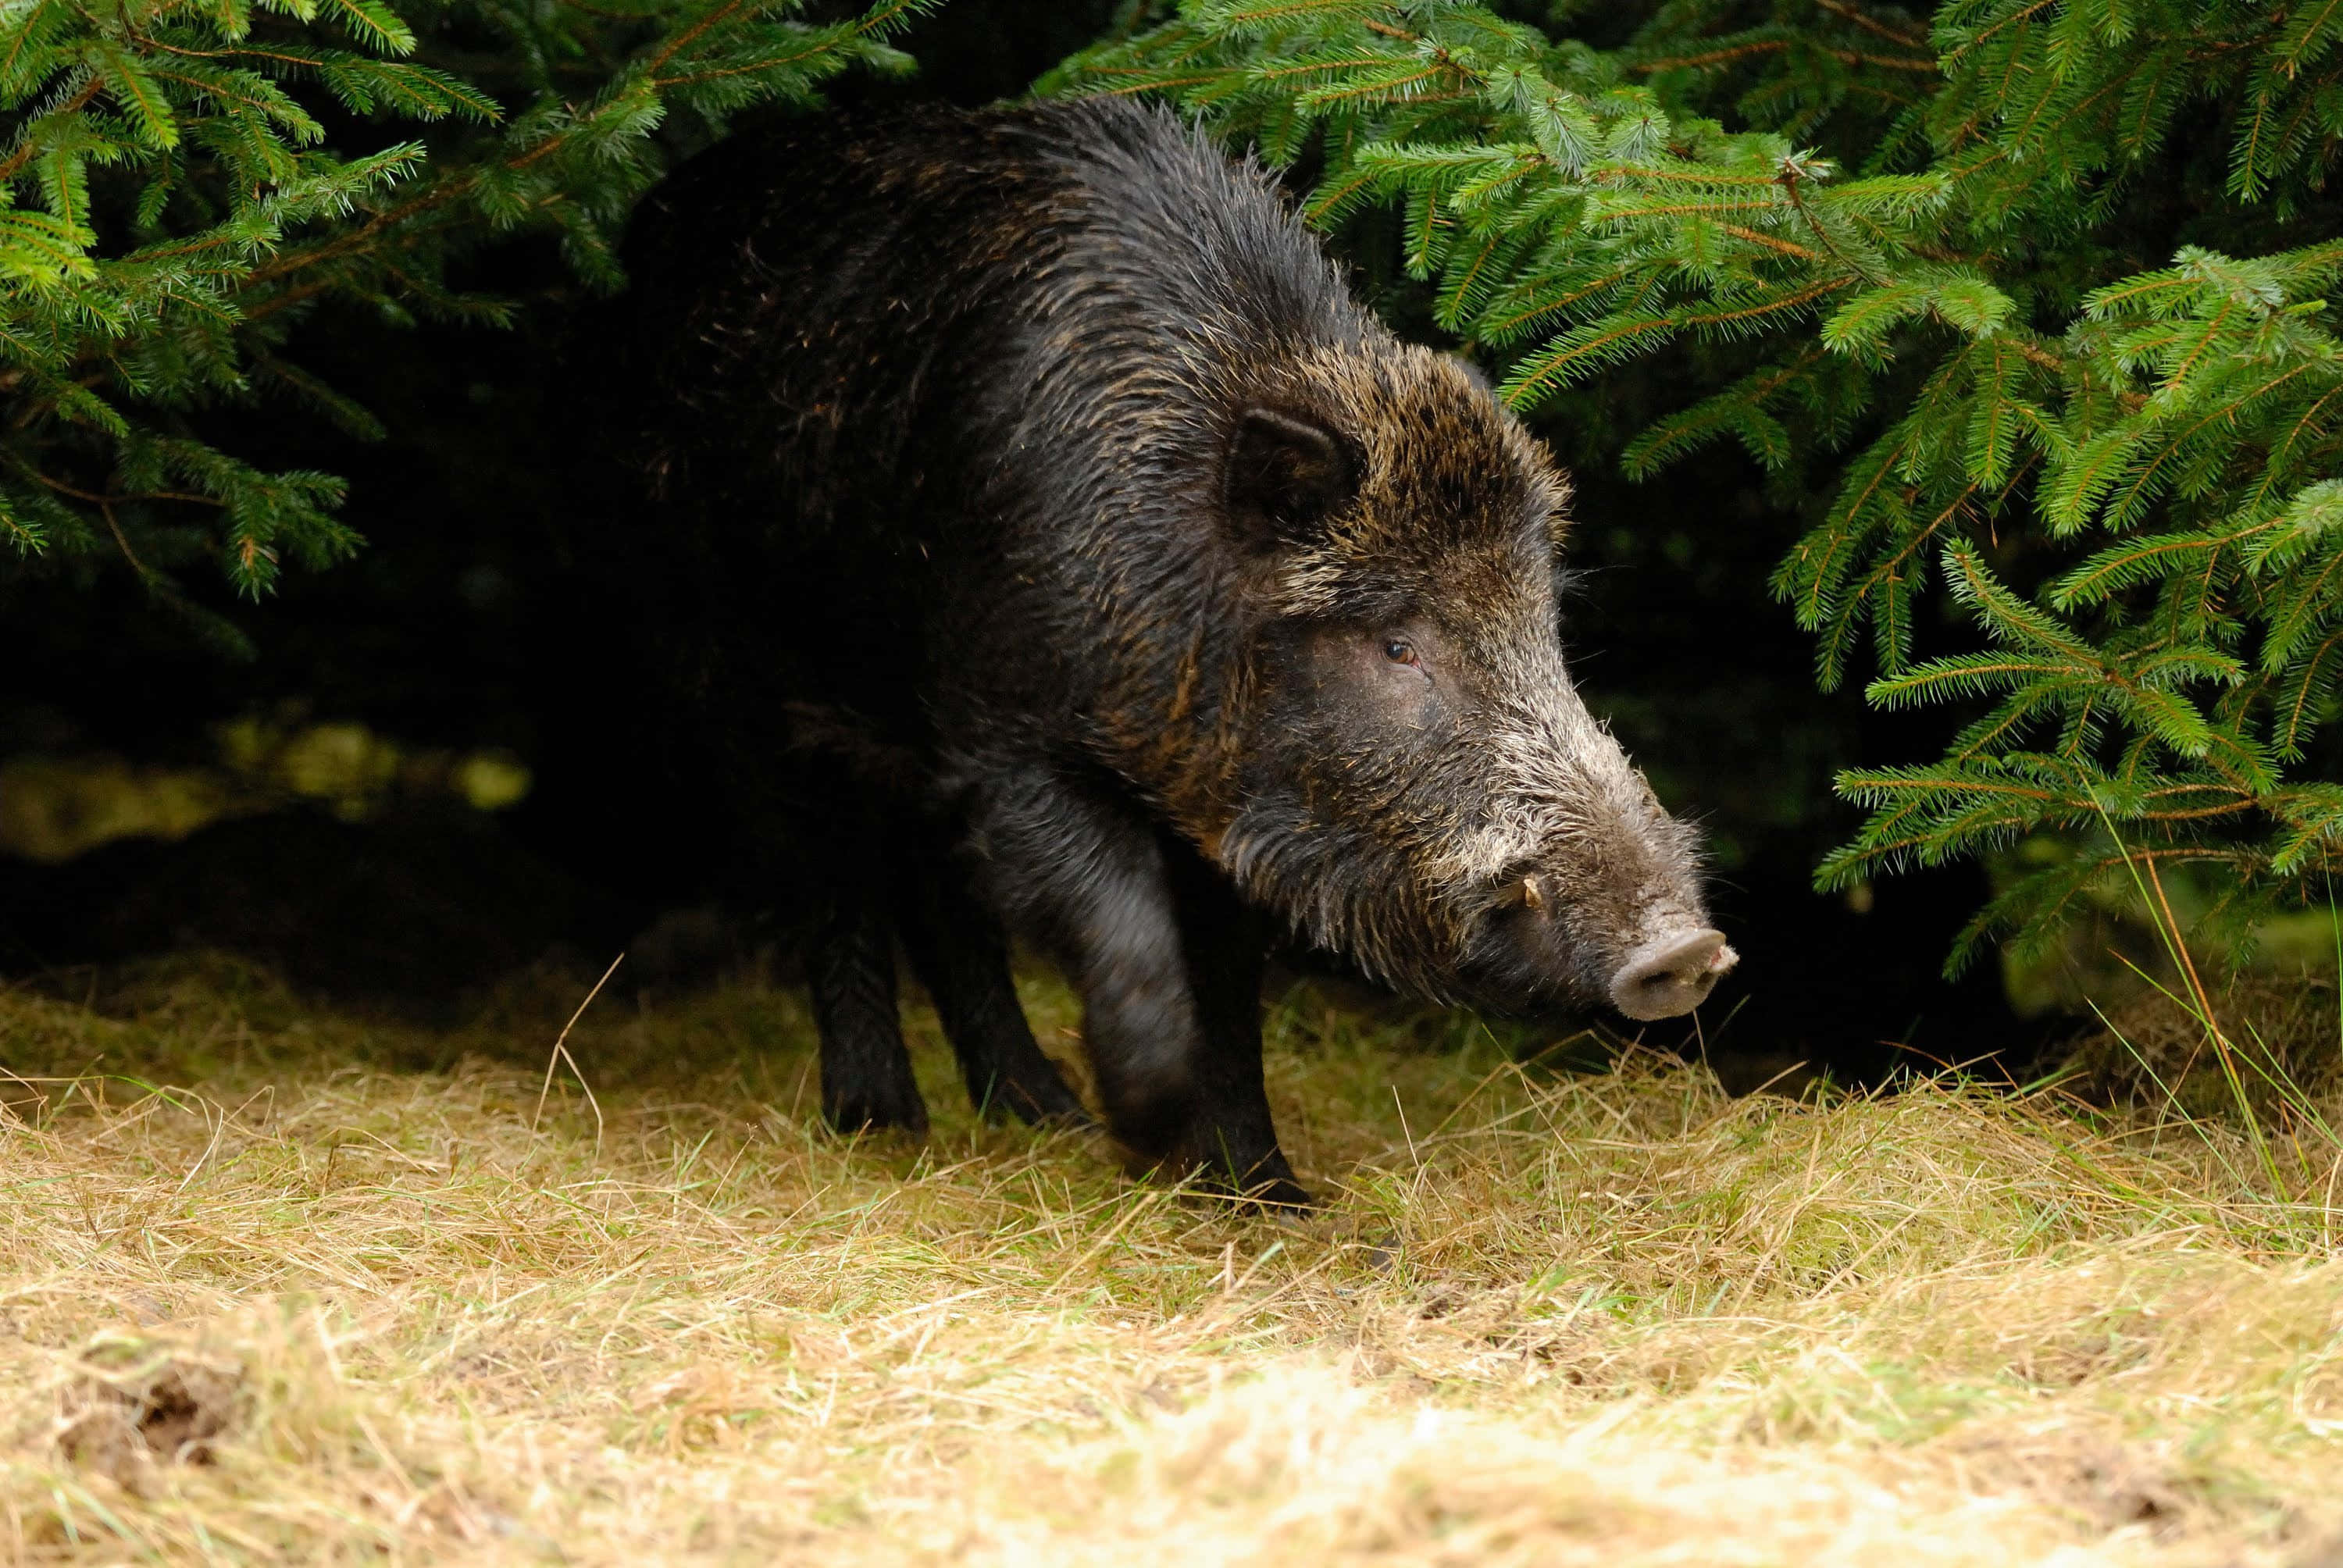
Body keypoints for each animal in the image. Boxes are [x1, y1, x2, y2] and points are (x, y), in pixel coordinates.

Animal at [607, 97, 1735, 1206]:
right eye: (1396, 642)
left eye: (1544, 621)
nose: (1687, 948)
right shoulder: (1007, 737)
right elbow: (1119, 915)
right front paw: (1148, 1125)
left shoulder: (1216, 807)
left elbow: (1230, 997)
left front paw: (1268, 1196)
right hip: (736, 672)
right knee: (832, 872)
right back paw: (882, 1128)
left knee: (938, 890)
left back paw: (1037, 1116)